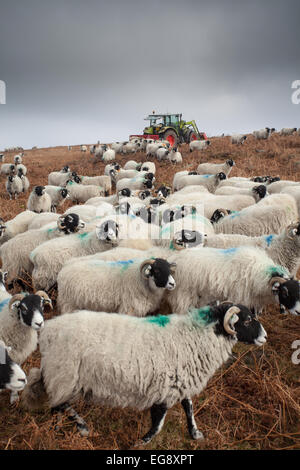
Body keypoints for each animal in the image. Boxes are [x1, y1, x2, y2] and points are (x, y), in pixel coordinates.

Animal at [21, 302, 268, 438]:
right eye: (246, 321)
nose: (265, 337)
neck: (195, 337)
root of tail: (48, 332)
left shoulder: (180, 381)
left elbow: (188, 407)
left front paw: (195, 433)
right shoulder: (165, 388)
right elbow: (158, 424)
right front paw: (140, 442)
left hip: (60, 377)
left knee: (57, 406)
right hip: (64, 375)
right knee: (59, 406)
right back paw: (81, 427)